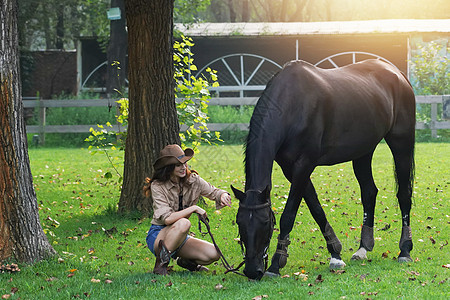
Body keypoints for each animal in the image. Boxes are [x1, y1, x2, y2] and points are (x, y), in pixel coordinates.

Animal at [232, 59, 414, 280]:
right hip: (363, 151)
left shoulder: (304, 164)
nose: (252, 270)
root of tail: (396, 72)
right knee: (369, 192)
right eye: (239, 222)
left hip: (401, 143)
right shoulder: (290, 168)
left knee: (403, 194)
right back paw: (363, 249)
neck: (293, 104)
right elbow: (316, 209)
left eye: (266, 223)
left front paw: (276, 264)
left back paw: (404, 250)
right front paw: (335, 253)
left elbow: (289, 214)